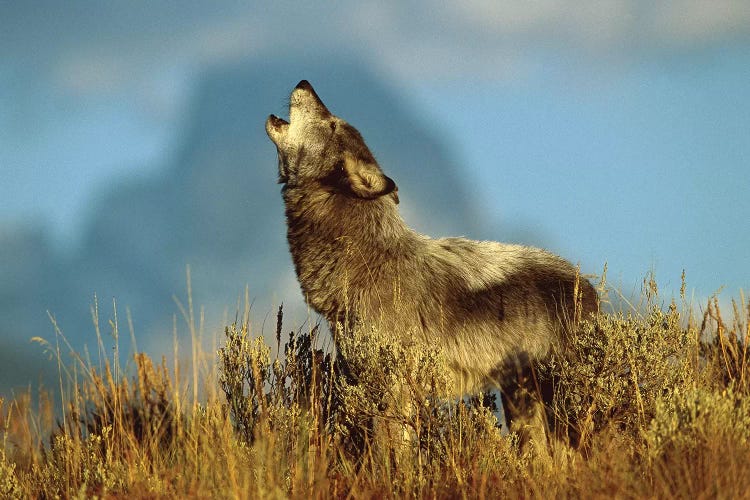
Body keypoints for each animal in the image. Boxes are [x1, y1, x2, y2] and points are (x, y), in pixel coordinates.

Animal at [264, 81, 600, 454]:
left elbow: (390, 454)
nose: (304, 83)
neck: (368, 259)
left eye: (333, 123)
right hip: (523, 405)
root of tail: (587, 286)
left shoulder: (394, 388)